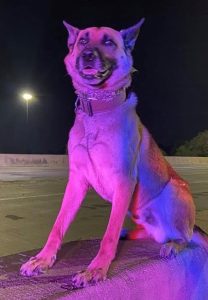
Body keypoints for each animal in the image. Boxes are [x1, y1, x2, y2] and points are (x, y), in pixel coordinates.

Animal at [19, 19, 208, 288]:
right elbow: (58, 225)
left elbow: (108, 235)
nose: (88, 55)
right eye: (83, 41)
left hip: (175, 190)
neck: (97, 109)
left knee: (184, 236)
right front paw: (43, 259)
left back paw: (172, 244)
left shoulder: (124, 180)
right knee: (144, 232)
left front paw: (96, 268)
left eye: (108, 42)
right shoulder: (76, 180)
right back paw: (129, 233)